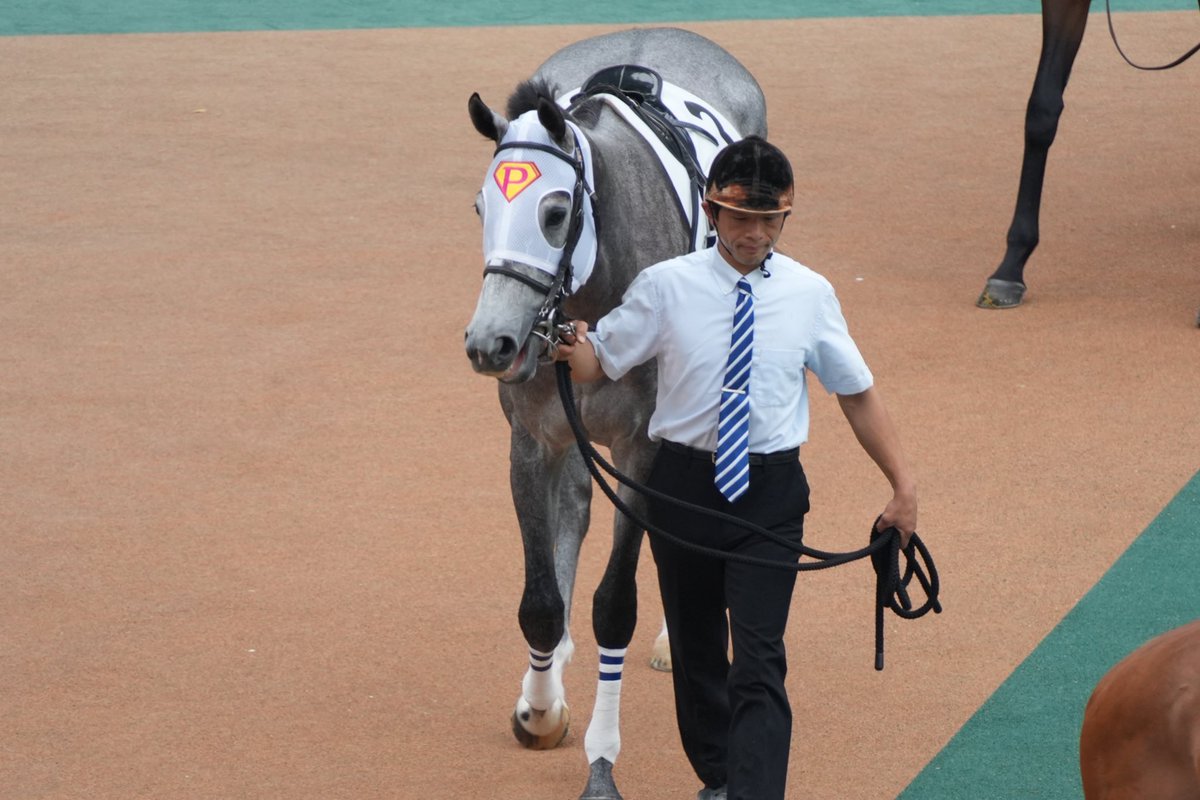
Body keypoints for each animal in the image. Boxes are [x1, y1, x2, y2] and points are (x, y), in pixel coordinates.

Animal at [462, 27, 766, 800]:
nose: (490, 342)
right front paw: (541, 710)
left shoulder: (641, 446)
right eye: (481, 208)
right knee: (574, 509)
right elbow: (541, 600)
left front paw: (602, 765)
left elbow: (615, 605)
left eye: (554, 212)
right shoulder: (531, 440)